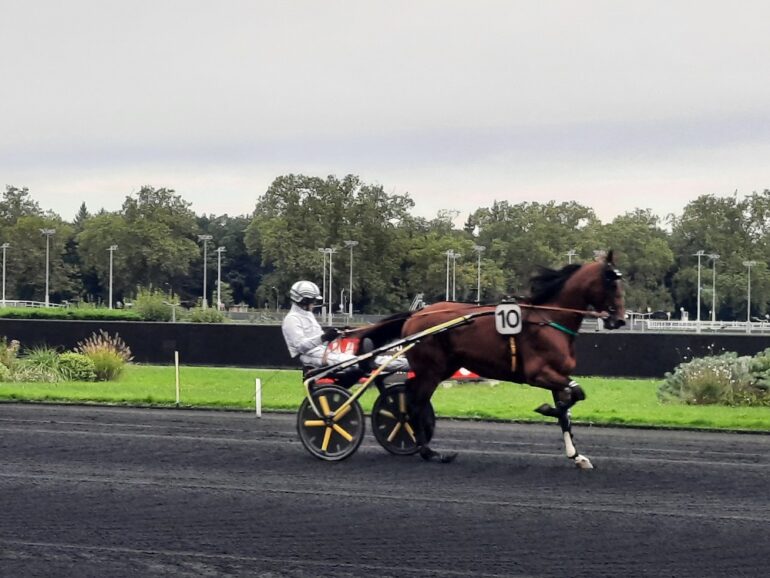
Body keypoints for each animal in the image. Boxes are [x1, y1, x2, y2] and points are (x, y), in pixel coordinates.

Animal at [361, 251, 625, 469]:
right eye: (612, 283)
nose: (620, 320)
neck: (549, 320)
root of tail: (415, 314)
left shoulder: (558, 375)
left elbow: (567, 411)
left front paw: (577, 456)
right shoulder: (539, 374)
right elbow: (576, 395)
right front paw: (545, 409)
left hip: (442, 368)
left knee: (409, 393)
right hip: (430, 370)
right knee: (415, 402)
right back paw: (429, 451)